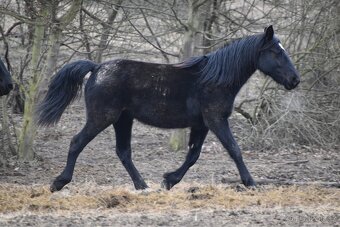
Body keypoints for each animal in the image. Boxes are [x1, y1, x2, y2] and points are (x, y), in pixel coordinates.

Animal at [36, 25, 300, 192]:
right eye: (275, 52)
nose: (295, 80)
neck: (215, 79)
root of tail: (96, 67)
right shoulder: (215, 120)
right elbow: (234, 150)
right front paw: (251, 183)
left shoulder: (201, 124)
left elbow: (193, 155)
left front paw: (169, 180)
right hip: (102, 118)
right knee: (77, 143)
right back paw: (58, 183)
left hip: (123, 120)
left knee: (123, 152)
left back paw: (143, 186)